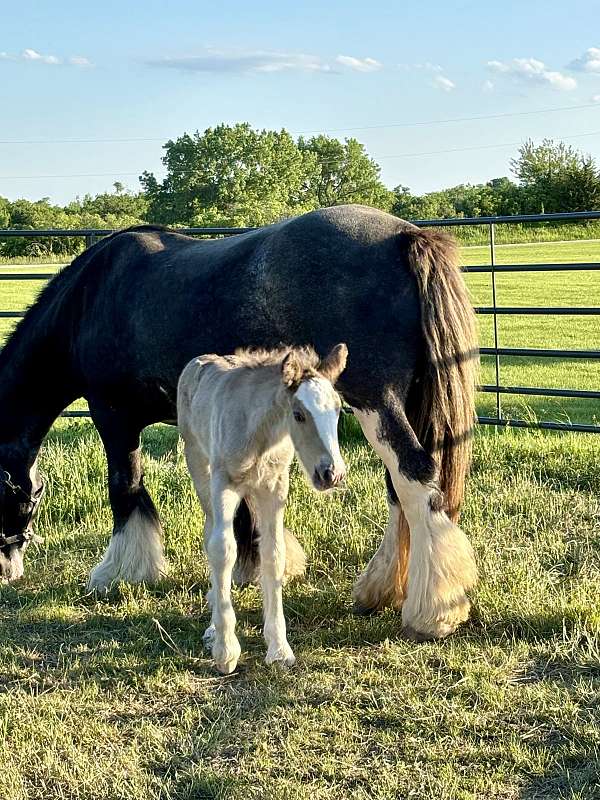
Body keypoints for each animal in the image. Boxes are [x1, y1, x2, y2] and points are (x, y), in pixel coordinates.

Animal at [0, 205, 478, 636]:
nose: (8, 568)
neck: (90, 299)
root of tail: (404, 236)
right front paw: (255, 564)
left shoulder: (113, 416)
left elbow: (125, 486)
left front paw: (120, 572)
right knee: (402, 491)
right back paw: (379, 590)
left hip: (375, 404)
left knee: (415, 478)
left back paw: (432, 612)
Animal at [177, 344, 346, 676]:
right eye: (298, 414)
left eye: (337, 409)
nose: (331, 473)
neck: (261, 435)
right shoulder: (224, 483)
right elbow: (223, 550)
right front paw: (225, 651)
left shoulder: (274, 488)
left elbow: (273, 554)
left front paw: (279, 649)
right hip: (199, 465)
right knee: (211, 534)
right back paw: (214, 625)